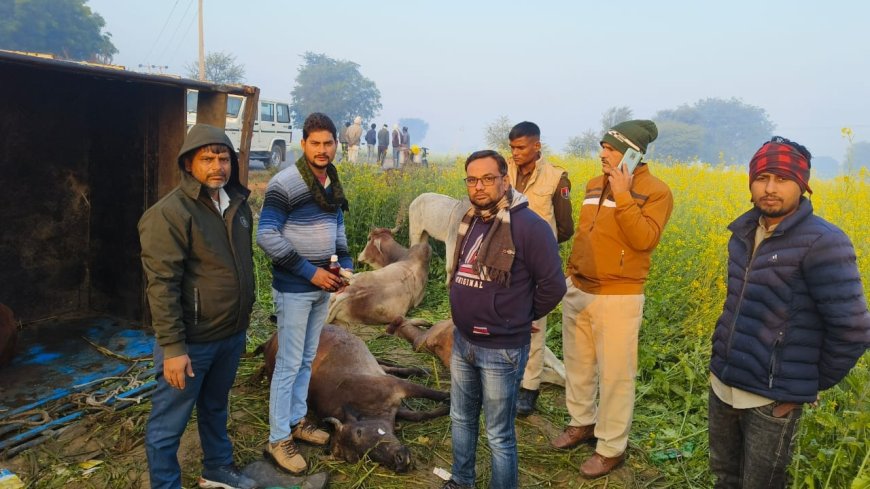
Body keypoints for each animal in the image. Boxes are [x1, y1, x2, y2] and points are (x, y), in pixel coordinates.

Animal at [258, 324, 450, 472]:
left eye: (359, 432)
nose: (400, 461)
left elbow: (433, 394)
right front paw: (445, 408)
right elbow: (419, 415)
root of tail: (270, 341)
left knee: (387, 364)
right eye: (361, 457)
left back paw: (420, 370)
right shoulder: (395, 407)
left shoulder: (397, 386)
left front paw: (449, 399)